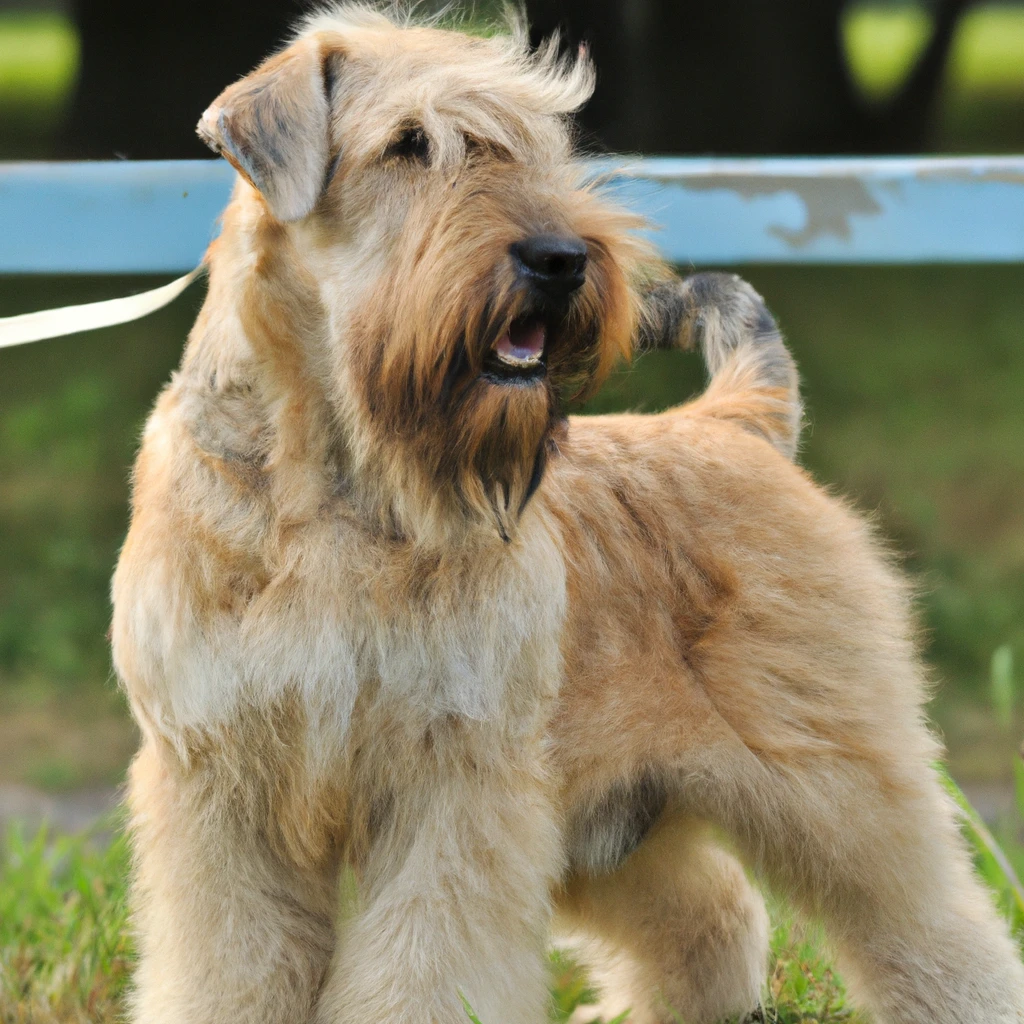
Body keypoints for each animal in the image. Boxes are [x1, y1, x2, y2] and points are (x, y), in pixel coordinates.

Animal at [110, 4, 1024, 1019]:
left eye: (546, 145)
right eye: (410, 143)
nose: (563, 258)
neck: (335, 487)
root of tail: (736, 420)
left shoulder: (454, 782)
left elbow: (427, 968)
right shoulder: (221, 787)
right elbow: (230, 966)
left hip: (834, 783)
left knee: (934, 930)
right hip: (614, 823)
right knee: (711, 913)